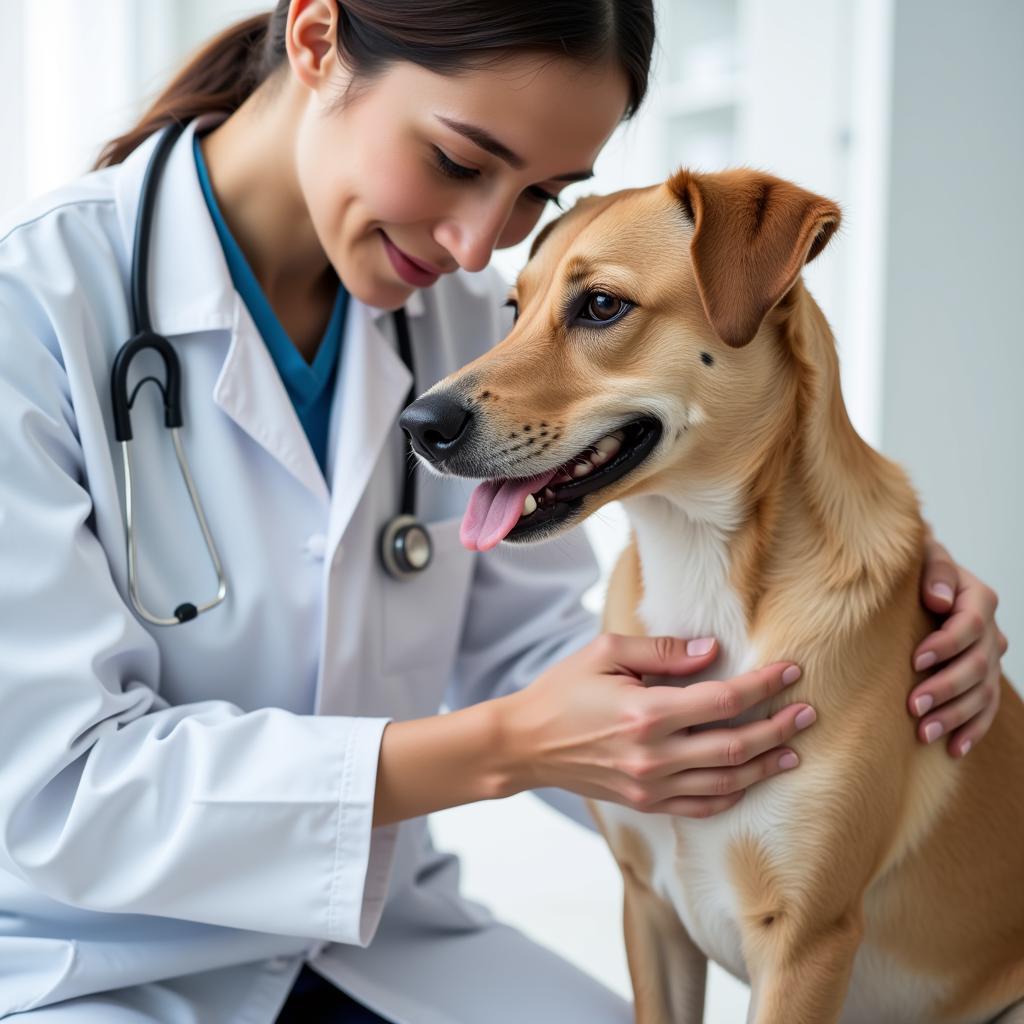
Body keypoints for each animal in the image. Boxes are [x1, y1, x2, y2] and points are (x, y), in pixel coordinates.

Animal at [399, 169, 1024, 1024]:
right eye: (512, 308)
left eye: (601, 305)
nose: (417, 424)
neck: (698, 565)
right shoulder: (649, 909)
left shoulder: (804, 945)